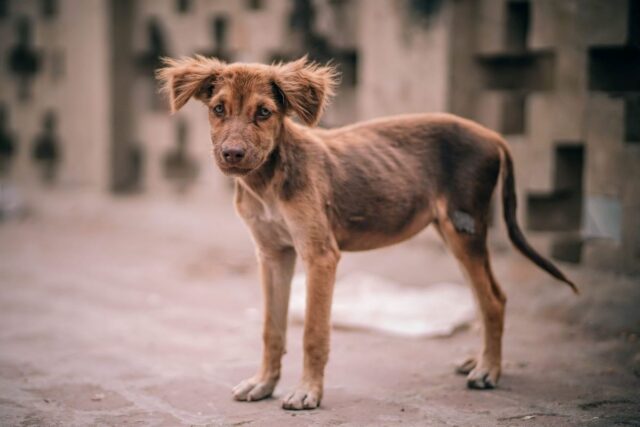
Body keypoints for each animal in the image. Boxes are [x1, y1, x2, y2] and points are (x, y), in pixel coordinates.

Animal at [158, 56, 576, 412]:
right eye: (218, 109)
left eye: (263, 112)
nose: (232, 154)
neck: (268, 182)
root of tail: (491, 134)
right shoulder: (272, 254)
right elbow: (271, 329)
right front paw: (263, 383)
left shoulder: (320, 254)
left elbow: (313, 332)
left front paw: (307, 391)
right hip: (452, 232)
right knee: (483, 294)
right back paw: (479, 360)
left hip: (464, 227)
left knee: (493, 299)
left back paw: (489, 370)